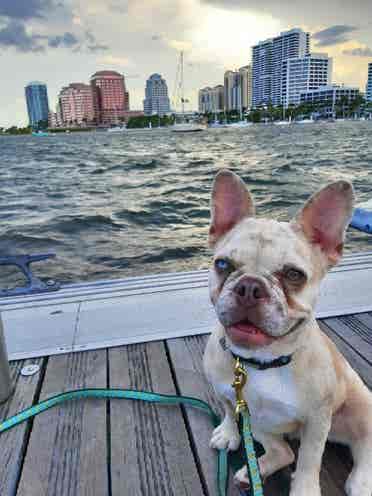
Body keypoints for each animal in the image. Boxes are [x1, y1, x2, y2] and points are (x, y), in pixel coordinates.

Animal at [203, 170, 372, 496]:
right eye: (223, 264)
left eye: (294, 275)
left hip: (361, 407)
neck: (261, 361)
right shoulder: (224, 391)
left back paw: (361, 481)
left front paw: (304, 489)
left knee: (362, 444)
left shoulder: (317, 421)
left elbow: (309, 461)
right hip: (259, 423)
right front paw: (228, 433)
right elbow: (229, 409)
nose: (249, 287)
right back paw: (253, 473)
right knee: (284, 451)